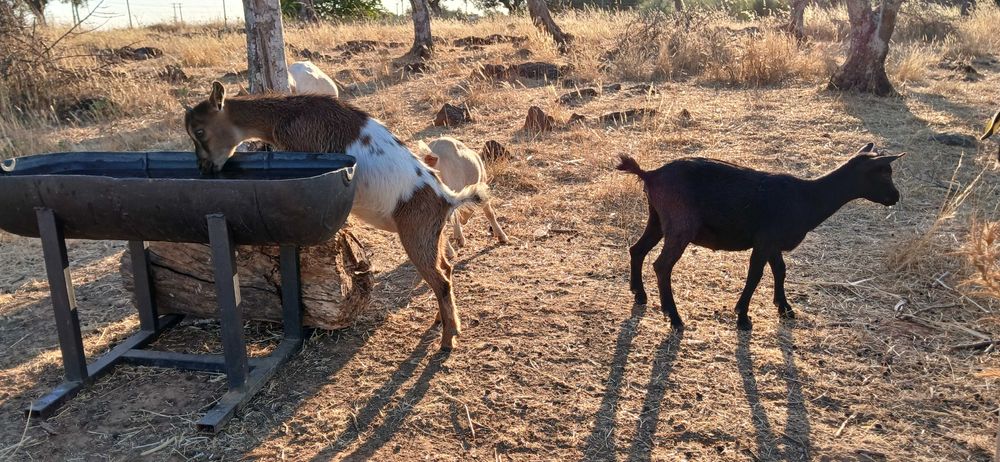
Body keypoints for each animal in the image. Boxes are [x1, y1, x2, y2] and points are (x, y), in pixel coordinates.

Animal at [184, 81, 486, 350]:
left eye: (200, 130)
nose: (205, 168)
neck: (288, 116)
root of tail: (444, 196)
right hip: (434, 234)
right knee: (446, 269)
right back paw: (441, 321)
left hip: (416, 233)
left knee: (441, 280)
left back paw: (447, 340)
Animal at [617, 143, 904, 331]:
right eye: (884, 173)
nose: (896, 197)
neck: (808, 198)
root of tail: (650, 174)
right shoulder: (765, 241)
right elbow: (755, 275)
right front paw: (743, 316)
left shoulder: (773, 242)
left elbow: (780, 270)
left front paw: (785, 308)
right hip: (680, 224)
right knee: (662, 265)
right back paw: (674, 317)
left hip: (657, 218)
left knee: (637, 249)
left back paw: (639, 294)